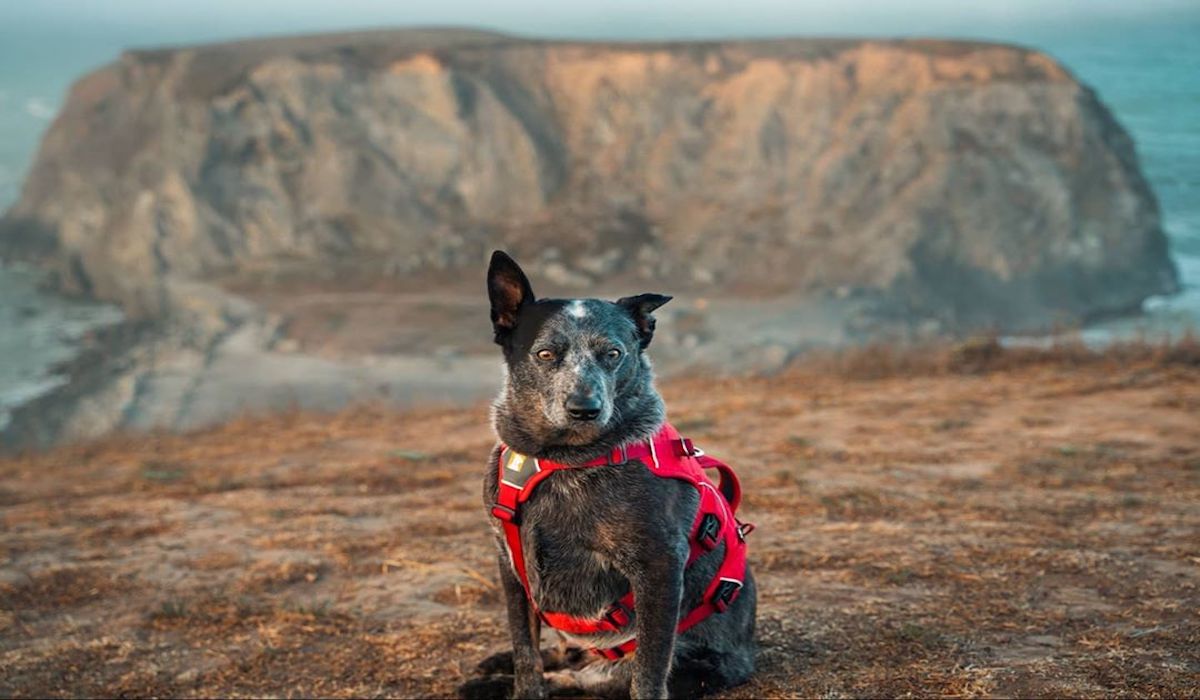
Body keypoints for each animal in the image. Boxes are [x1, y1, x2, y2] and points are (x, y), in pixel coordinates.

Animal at [460, 253, 758, 700]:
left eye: (613, 353)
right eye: (546, 354)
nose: (585, 408)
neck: (561, 459)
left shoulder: (658, 565)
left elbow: (649, 672)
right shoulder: (509, 563)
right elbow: (525, 651)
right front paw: (521, 682)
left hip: (690, 663)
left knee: (584, 678)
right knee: (560, 656)